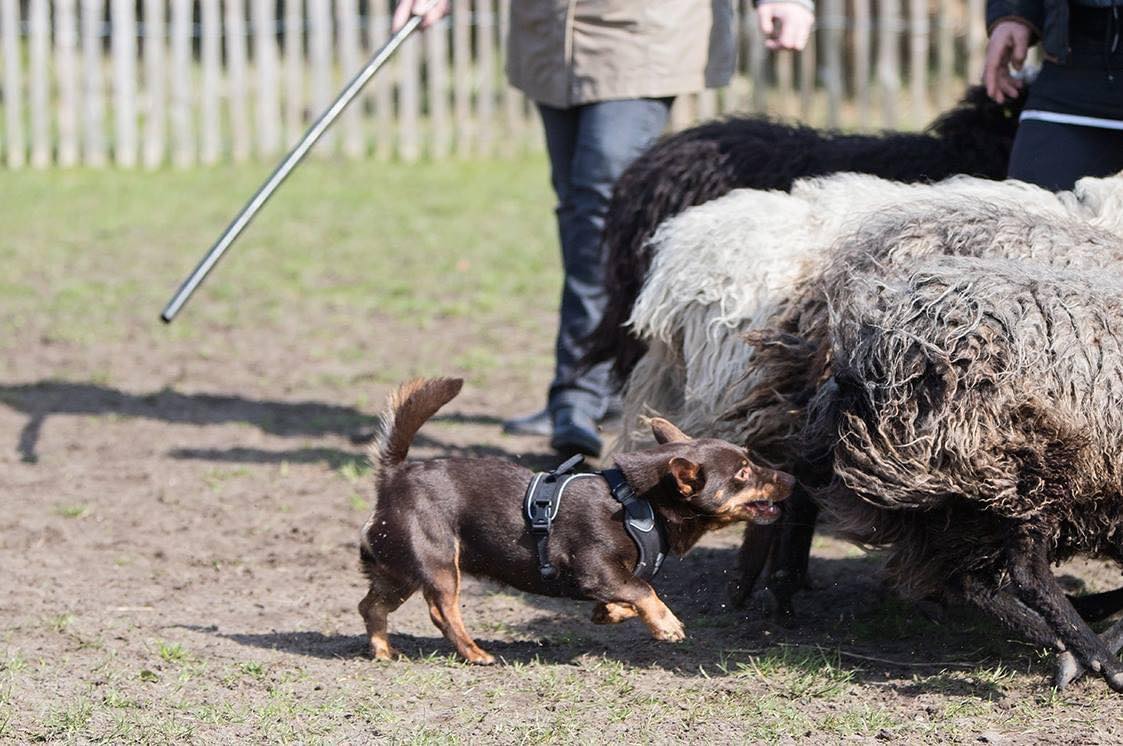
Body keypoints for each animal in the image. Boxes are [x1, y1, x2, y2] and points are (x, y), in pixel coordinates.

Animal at [357, 379, 790, 665]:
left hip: (399, 574)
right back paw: (476, 653)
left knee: (369, 606)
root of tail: (396, 475)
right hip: (439, 568)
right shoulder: (596, 570)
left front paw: (609, 613)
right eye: (743, 474)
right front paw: (666, 624)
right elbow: (644, 589)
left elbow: (629, 596)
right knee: (442, 612)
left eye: (751, 461)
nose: (790, 477)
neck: (641, 502)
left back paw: (383, 650)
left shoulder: (609, 581)